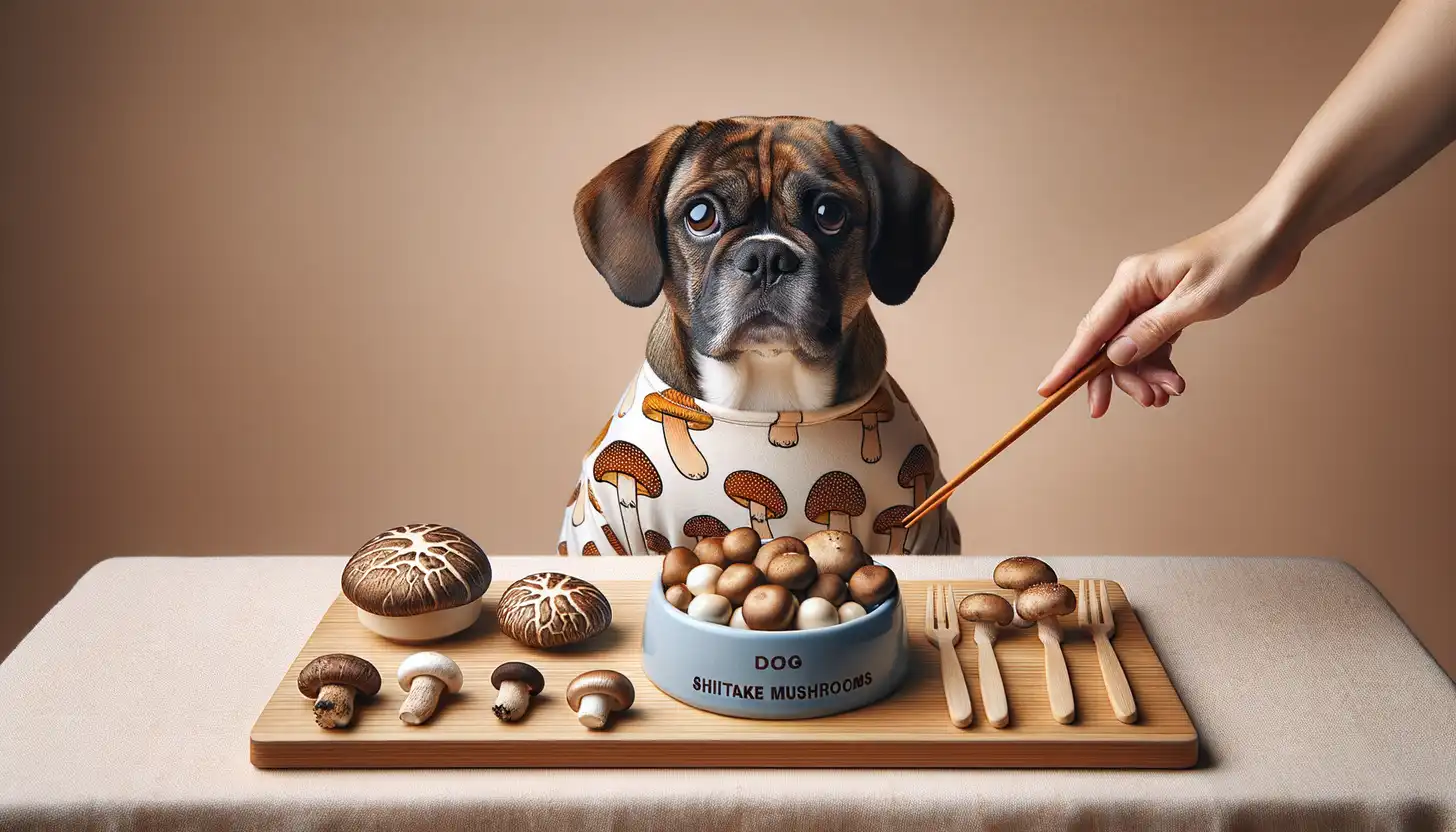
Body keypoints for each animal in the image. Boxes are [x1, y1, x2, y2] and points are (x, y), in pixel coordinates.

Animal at [556, 117, 955, 556]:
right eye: (700, 215)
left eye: (830, 213)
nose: (767, 257)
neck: (768, 388)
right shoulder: (605, 535)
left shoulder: (921, 530)